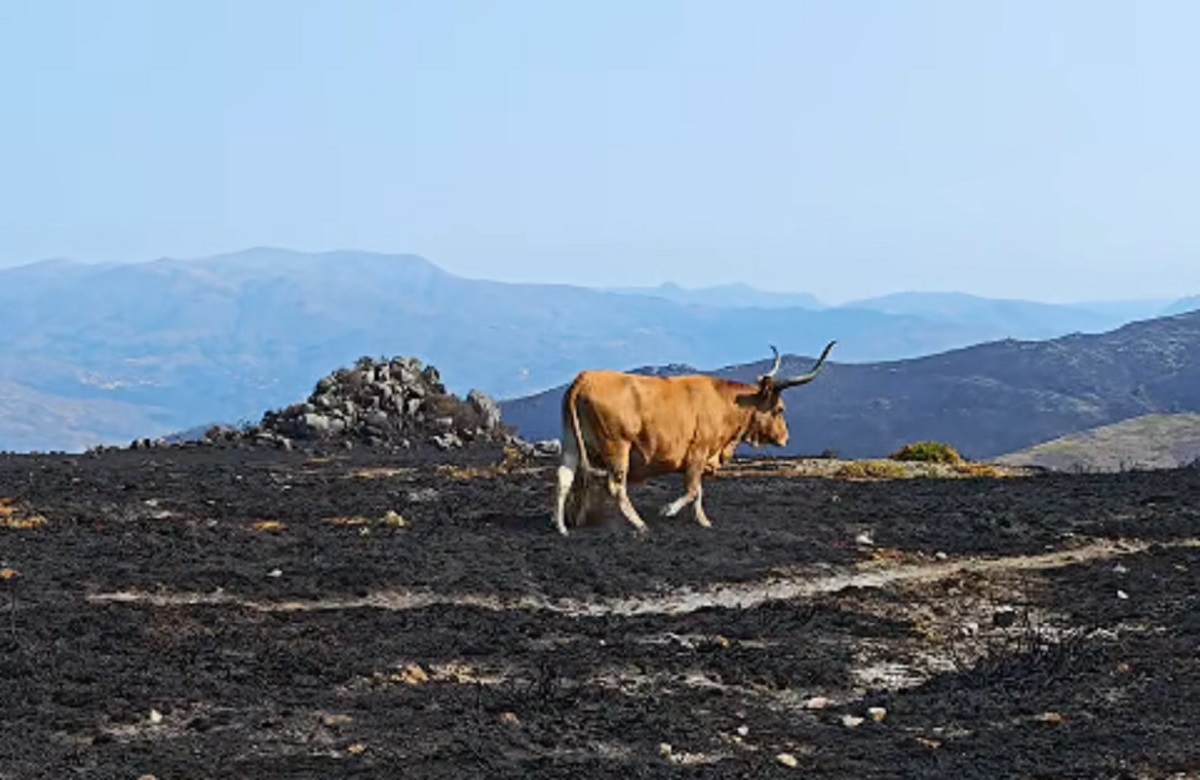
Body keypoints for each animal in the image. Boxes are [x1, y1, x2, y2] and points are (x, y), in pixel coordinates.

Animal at [551, 341, 837, 535]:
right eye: (779, 409)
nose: (785, 438)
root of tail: (585, 378)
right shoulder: (698, 452)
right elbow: (691, 490)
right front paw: (668, 510)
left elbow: (697, 491)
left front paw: (703, 521)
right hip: (617, 446)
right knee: (615, 485)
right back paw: (639, 524)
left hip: (571, 440)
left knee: (565, 475)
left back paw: (562, 526)